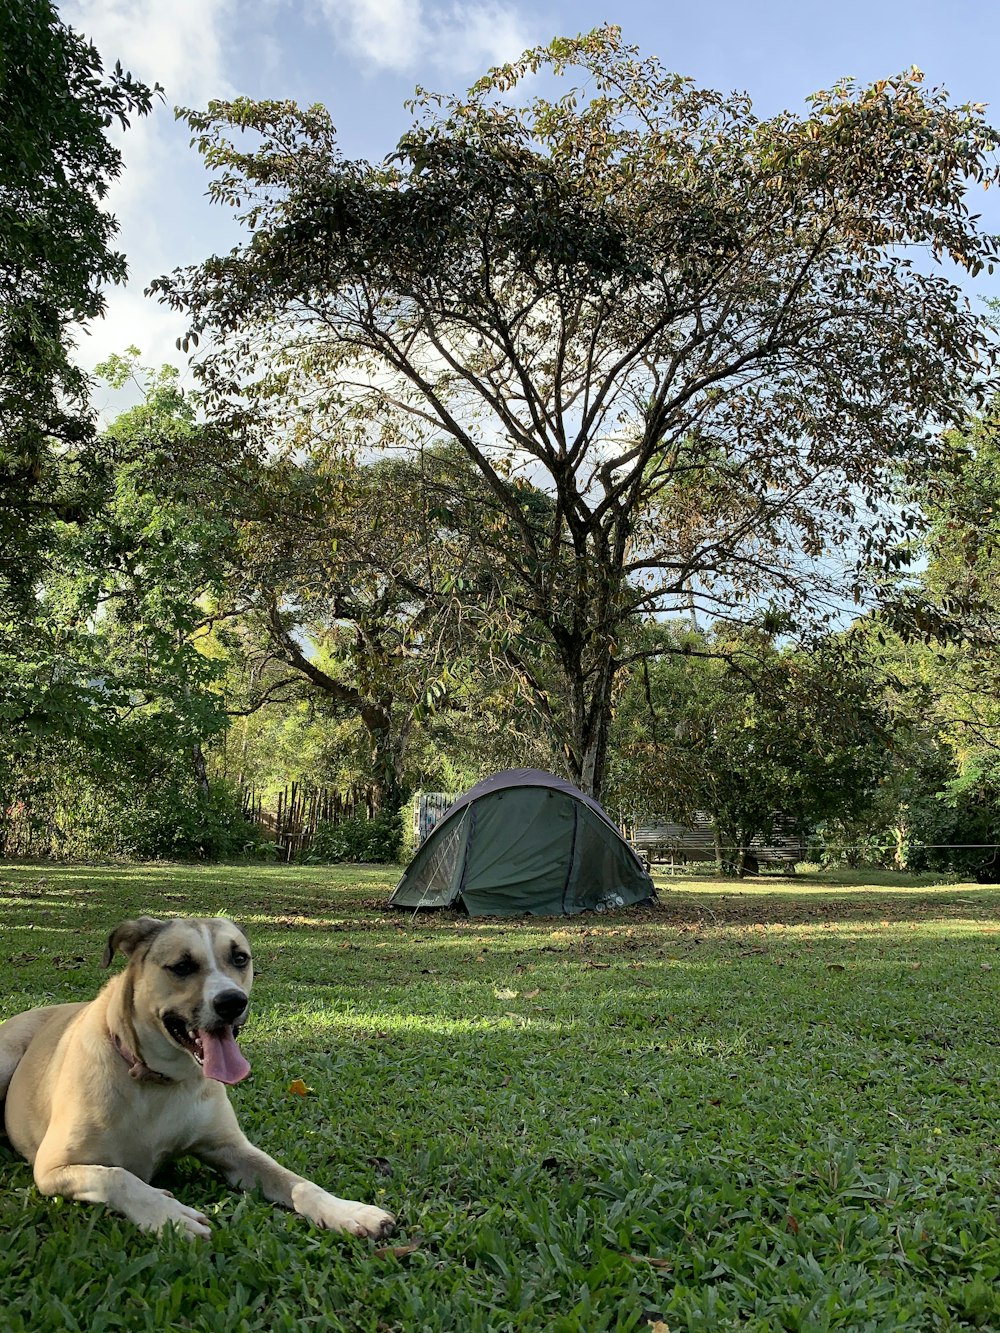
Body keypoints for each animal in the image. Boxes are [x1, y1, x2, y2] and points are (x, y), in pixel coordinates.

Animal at [0, 917, 397, 1237]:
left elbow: (297, 1182)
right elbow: (115, 1176)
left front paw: (348, 1211)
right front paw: (168, 1215)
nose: (232, 1002)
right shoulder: (52, 1167)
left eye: (240, 958)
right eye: (182, 966)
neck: (157, 1081)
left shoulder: (233, 1150)